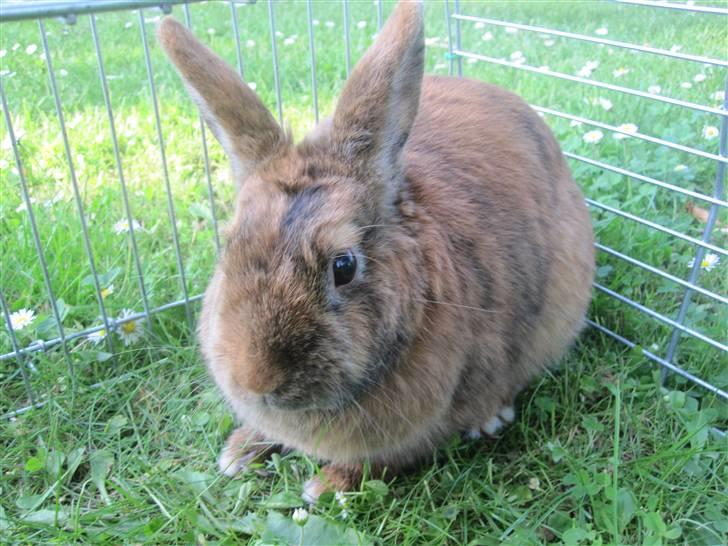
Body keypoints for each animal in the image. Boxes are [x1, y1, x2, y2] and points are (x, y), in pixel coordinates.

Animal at [157, 0, 594, 501]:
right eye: (228, 246)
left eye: (344, 266)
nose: (257, 379)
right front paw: (240, 451)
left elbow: (380, 461)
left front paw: (325, 486)